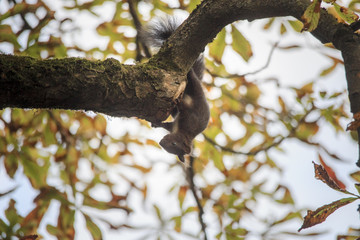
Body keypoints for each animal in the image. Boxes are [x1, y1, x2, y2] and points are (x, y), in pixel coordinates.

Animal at [140, 16, 210, 163]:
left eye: (173, 147)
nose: (161, 142)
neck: (184, 132)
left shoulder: (176, 125)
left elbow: (167, 125)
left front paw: (156, 123)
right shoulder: (188, 116)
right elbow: (184, 107)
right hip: (194, 85)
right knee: (190, 77)